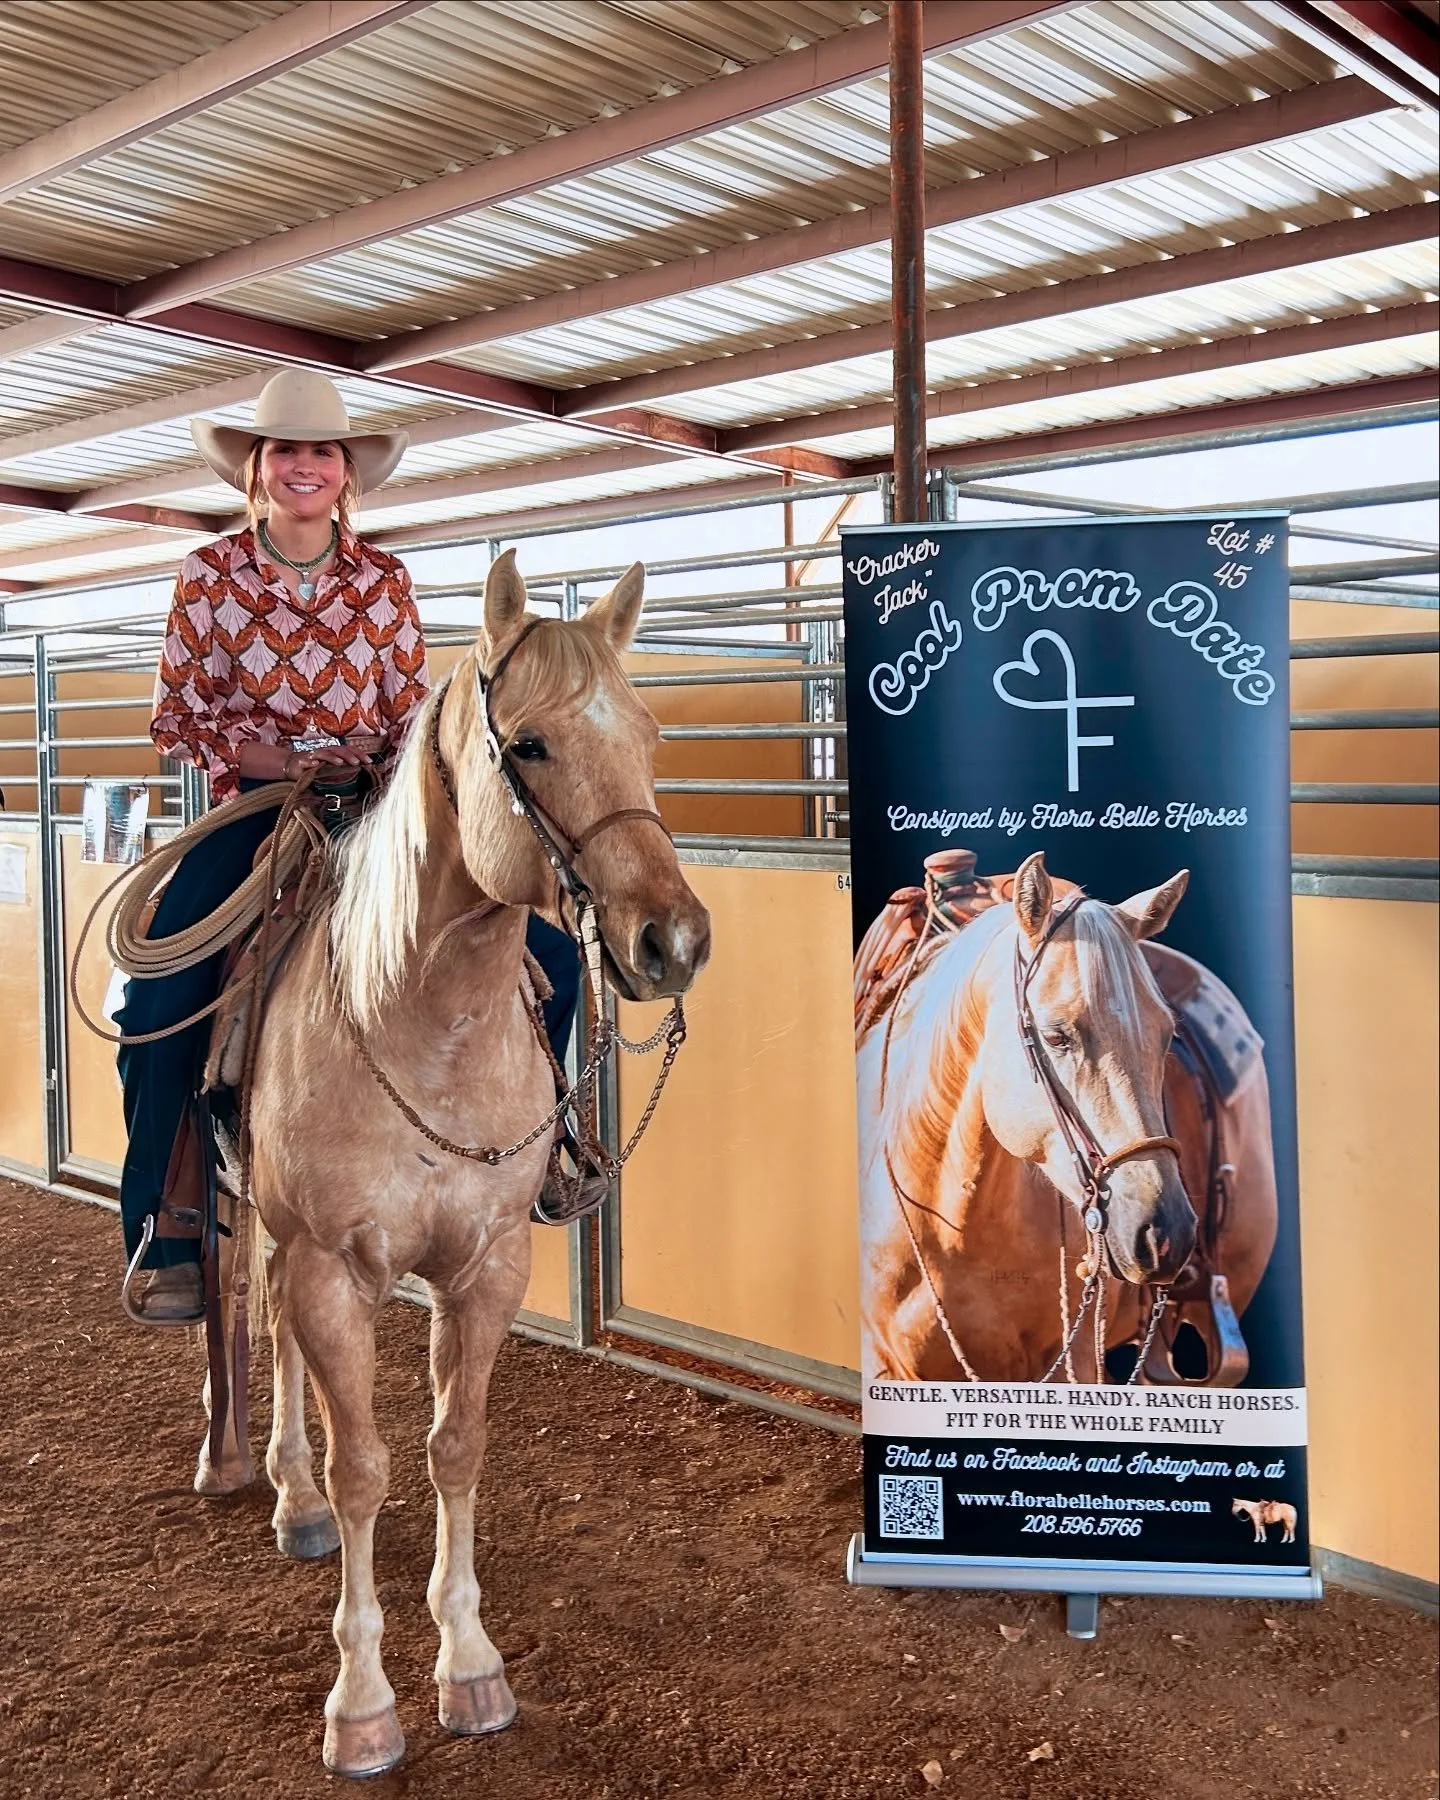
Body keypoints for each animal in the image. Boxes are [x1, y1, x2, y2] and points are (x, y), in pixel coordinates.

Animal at [193, 550, 711, 1777]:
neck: (421, 1021)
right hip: (253, 1218)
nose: (674, 941)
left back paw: (290, 1500)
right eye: (529, 745)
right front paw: (362, 1704)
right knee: (244, 1310)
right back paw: (256, 1470)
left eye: (651, 735)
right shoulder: (334, 1268)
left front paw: (471, 1666)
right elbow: (367, 1466)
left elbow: (456, 1450)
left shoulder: (482, 1270)